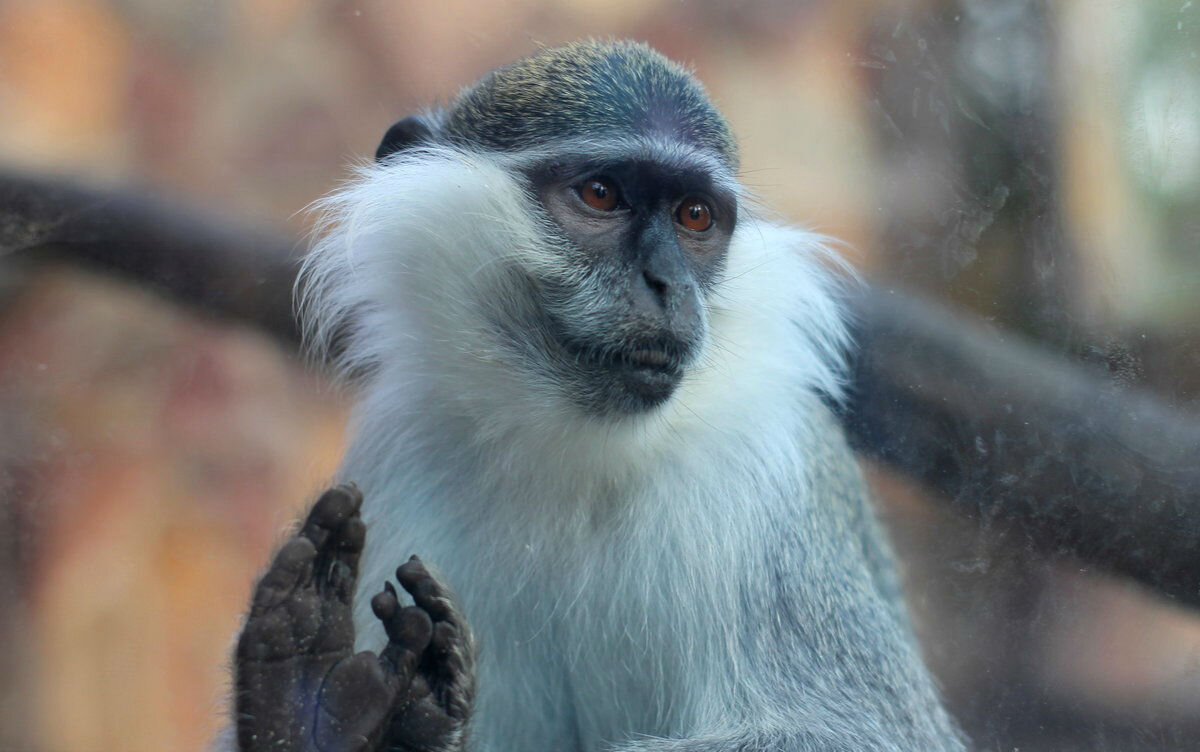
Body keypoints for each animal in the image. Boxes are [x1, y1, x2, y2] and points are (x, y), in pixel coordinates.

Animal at [231, 41, 964, 752]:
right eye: (602, 195)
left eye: (695, 215)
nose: (667, 283)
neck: (575, 445)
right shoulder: (401, 449)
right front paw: (304, 709)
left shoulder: (765, 477)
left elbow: (863, 732)